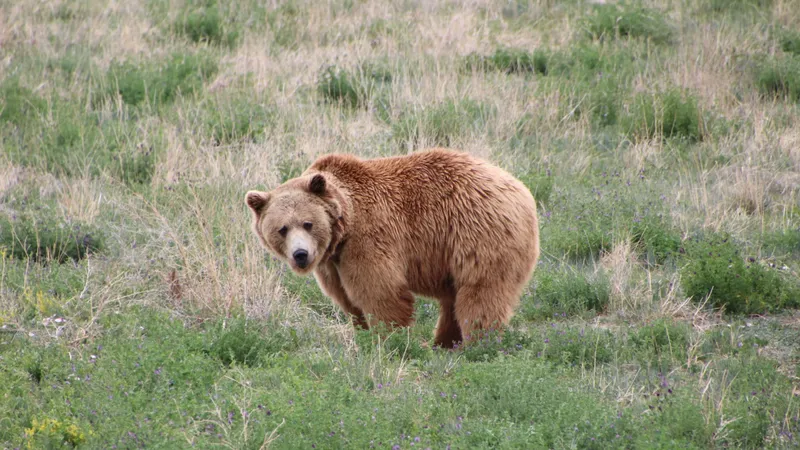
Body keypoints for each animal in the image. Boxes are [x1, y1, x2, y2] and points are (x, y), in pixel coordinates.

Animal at [245, 148, 539, 348]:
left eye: (307, 223)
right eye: (282, 229)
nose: (301, 255)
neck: (344, 226)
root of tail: (521, 189)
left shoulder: (369, 237)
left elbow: (381, 291)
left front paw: (388, 339)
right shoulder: (332, 263)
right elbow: (347, 300)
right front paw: (362, 332)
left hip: (479, 233)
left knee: (480, 293)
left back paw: (476, 344)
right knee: (453, 301)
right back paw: (443, 344)